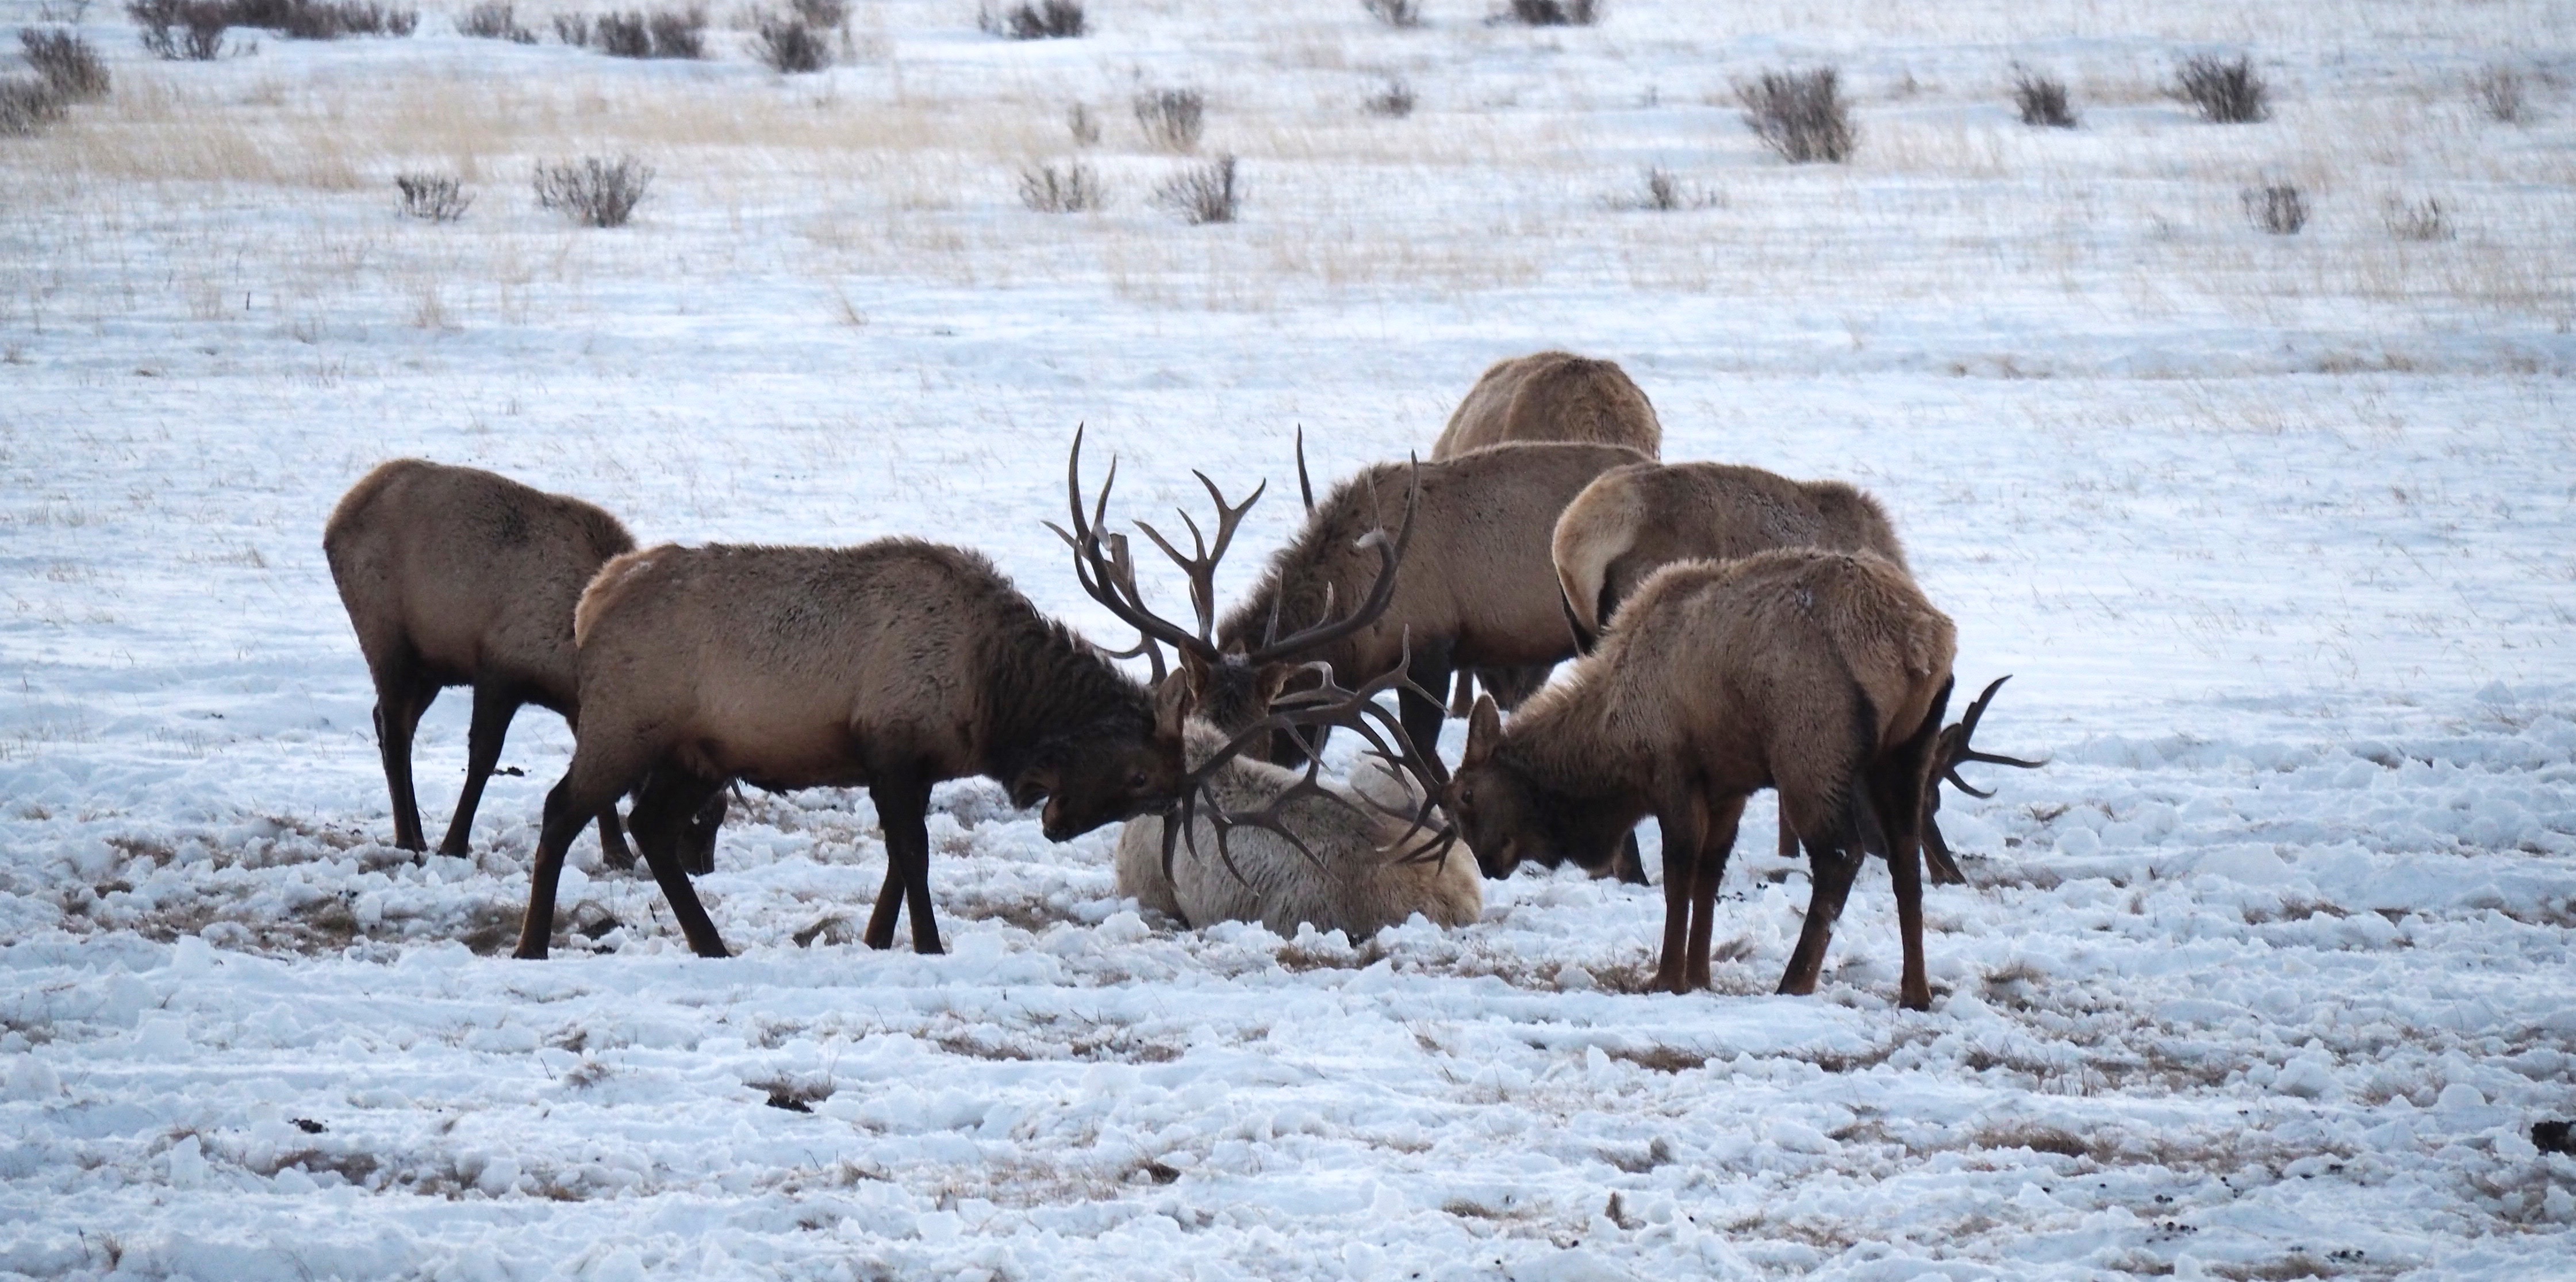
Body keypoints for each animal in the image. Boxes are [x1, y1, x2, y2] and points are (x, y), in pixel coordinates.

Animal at [320, 455, 654, 865]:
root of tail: (338, 517)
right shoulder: (498, 672)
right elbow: (483, 758)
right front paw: (454, 845)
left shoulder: (575, 703)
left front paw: (617, 852)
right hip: (387, 643)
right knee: (395, 733)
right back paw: (408, 841)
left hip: (431, 668)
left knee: (389, 722)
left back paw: (417, 834)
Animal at [512, 532, 1195, 962]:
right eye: (1140, 776)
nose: (1057, 825)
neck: (989, 693)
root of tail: (591, 601)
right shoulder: (890, 745)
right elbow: (913, 854)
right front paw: (929, 945)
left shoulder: (913, 767)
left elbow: (898, 859)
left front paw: (875, 939)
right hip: (622, 725)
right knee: (561, 809)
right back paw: (531, 945)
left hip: (697, 755)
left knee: (651, 825)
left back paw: (711, 945)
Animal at [1453, 546, 1947, 1009]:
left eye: (1466, 795)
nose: (1487, 863)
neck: (1611, 731)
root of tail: (1918, 645)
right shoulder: (1728, 787)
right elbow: (1709, 876)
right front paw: (1699, 976)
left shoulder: (1674, 773)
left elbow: (1678, 878)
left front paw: (1667, 977)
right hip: (1906, 753)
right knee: (1906, 861)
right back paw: (1915, 991)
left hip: (1810, 755)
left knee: (1842, 856)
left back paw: (1794, 981)